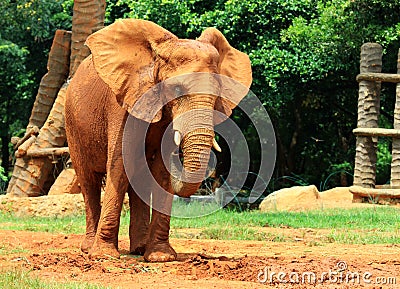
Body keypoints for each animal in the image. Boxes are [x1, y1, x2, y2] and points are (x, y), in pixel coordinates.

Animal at [65, 18, 252, 260]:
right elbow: (120, 165)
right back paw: (89, 249)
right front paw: (104, 256)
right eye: (177, 89)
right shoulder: (123, 106)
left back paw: (139, 249)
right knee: (88, 180)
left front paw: (161, 257)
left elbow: (161, 173)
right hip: (72, 123)